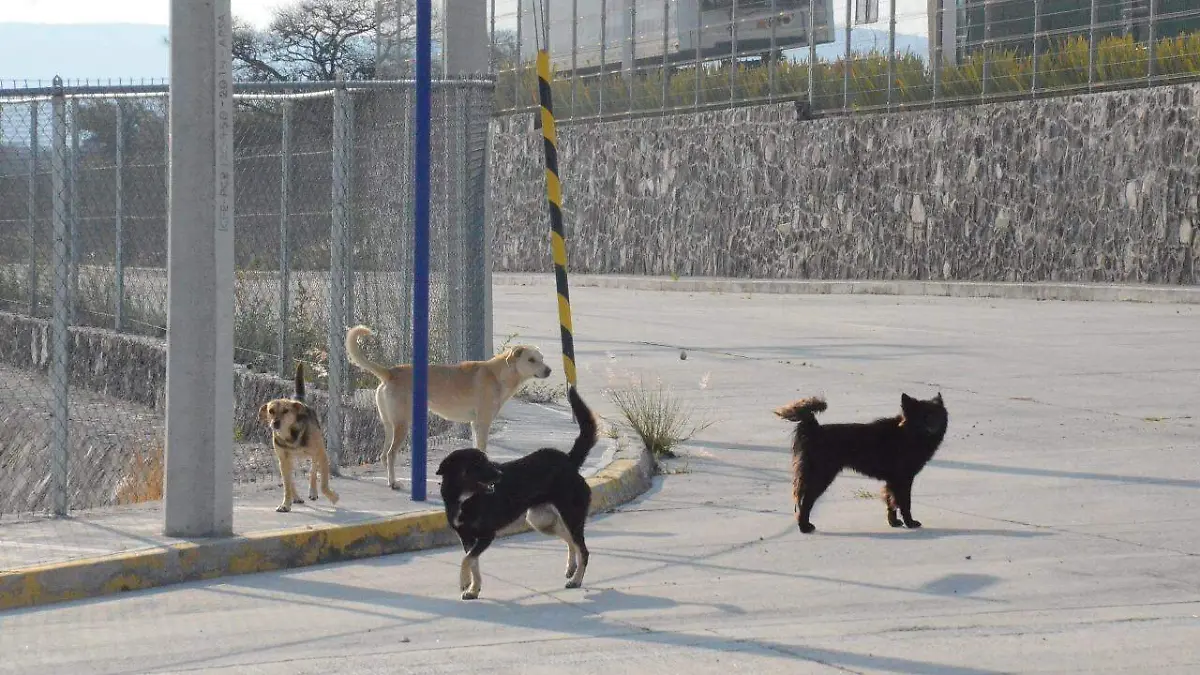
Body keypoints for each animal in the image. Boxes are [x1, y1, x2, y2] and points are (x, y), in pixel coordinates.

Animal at [258, 362, 340, 509]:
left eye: (285, 411)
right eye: (271, 411)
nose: (275, 423)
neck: (290, 436)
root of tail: (297, 400)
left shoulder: (322, 454)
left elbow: (323, 484)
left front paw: (333, 497)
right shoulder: (283, 459)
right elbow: (287, 485)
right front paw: (285, 504)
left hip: (314, 454)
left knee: (313, 471)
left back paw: (312, 492)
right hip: (288, 460)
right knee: (292, 480)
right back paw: (296, 497)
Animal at [434, 384, 597, 598]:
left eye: (486, 461)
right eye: (477, 464)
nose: (500, 474)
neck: (465, 498)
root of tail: (569, 461)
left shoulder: (487, 535)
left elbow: (467, 560)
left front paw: (465, 582)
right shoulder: (467, 538)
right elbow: (473, 562)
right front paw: (473, 588)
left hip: (570, 515)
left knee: (583, 549)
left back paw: (576, 579)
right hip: (540, 520)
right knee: (570, 539)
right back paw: (571, 568)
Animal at [772, 391, 950, 533]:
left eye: (937, 414)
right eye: (924, 416)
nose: (934, 425)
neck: (908, 434)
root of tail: (814, 429)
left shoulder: (892, 480)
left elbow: (890, 501)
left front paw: (893, 522)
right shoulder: (903, 478)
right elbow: (905, 503)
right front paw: (910, 523)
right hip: (820, 476)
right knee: (805, 502)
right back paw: (804, 527)